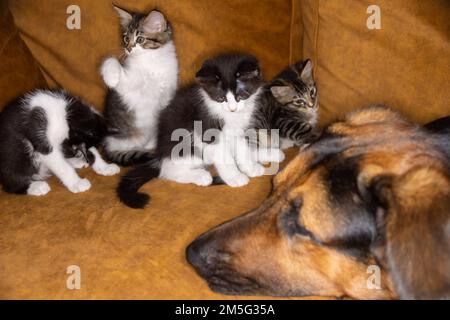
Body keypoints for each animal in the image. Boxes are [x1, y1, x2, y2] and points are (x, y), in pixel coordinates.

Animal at [101, 6, 178, 166]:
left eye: (140, 39)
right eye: (126, 38)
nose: (128, 49)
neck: (151, 61)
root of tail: (107, 145)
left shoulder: (167, 94)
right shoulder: (127, 86)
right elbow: (110, 60)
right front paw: (111, 78)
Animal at [118, 53, 284, 209]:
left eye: (241, 96)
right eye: (221, 98)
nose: (232, 108)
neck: (227, 115)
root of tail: (159, 155)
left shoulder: (238, 131)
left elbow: (243, 149)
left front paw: (250, 168)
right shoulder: (208, 131)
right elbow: (225, 157)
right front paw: (235, 177)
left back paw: (271, 154)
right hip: (187, 146)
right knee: (168, 170)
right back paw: (201, 176)